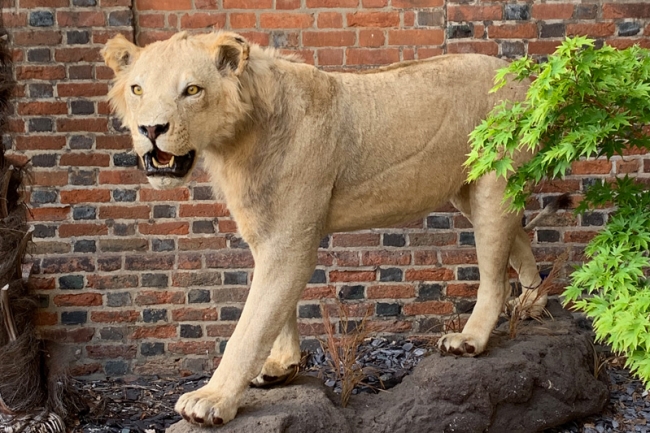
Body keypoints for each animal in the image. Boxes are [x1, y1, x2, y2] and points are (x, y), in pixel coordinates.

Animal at [101, 32, 552, 426]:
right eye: (137, 90)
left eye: (192, 90)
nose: (150, 130)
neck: (234, 141)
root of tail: (520, 73)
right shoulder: (267, 230)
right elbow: (277, 311)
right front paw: (281, 367)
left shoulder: (289, 240)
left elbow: (250, 327)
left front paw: (211, 399)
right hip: (467, 190)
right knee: (517, 237)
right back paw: (533, 303)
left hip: (495, 180)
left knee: (495, 273)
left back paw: (470, 339)